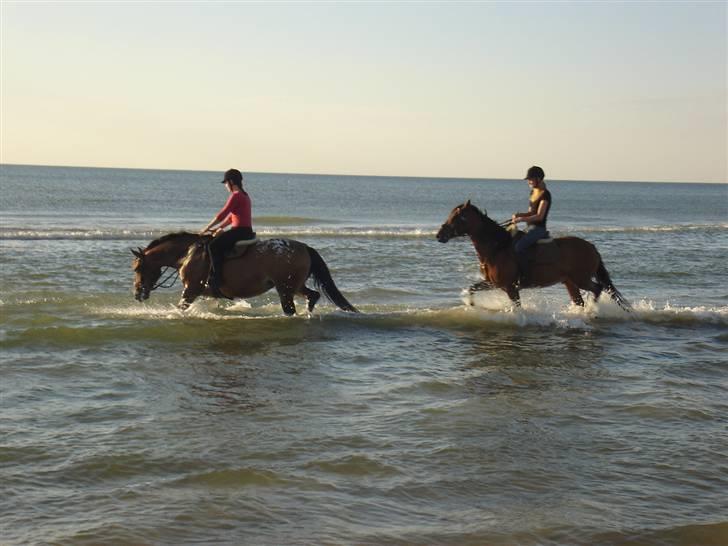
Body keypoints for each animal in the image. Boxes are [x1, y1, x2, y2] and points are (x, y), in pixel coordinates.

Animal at [132, 231, 360, 314]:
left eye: (137, 268)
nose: (137, 294)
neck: (187, 253)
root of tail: (304, 247)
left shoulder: (191, 290)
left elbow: (182, 307)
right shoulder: (205, 293)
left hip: (285, 288)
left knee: (291, 308)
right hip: (295, 286)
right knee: (313, 295)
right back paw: (309, 312)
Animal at [436, 201, 628, 310]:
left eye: (459, 217)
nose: (439, 235)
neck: (497, 248)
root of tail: (592, 247)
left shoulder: (510, 287)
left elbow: (517, 307)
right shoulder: (493, 283)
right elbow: (471, 289)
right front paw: (471, 305)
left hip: (580, 279)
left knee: (597, 288)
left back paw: (592, 310)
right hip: (570, 282)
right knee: (581, 299)